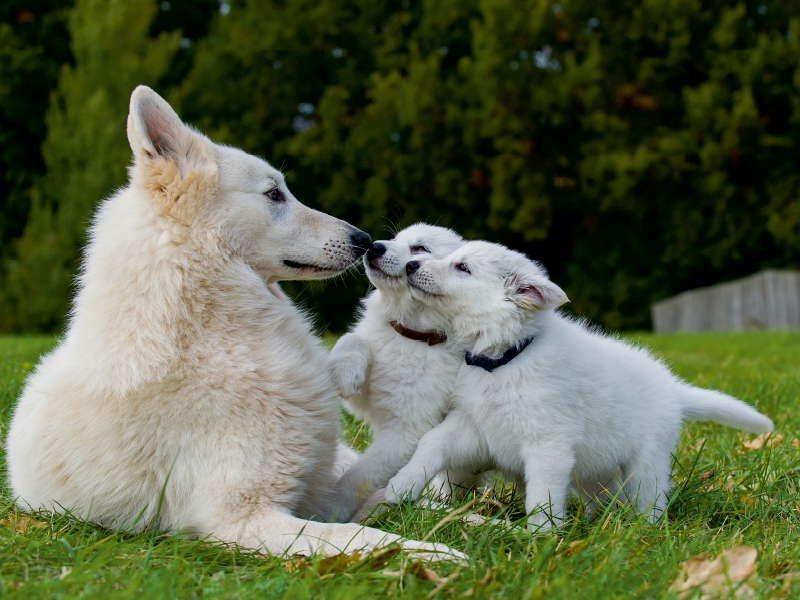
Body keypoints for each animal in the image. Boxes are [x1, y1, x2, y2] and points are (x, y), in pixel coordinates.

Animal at [328, 223, 472, 524]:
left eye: (420, 248)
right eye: (395, 238)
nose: (373, 246)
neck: (409, 334)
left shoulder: (405, 433)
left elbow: (355, 480)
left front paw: (328, 510)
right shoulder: (365, 396)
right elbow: (354, 339)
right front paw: (344, 370)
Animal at [388, 239, 776, 528]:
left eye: (463, 268)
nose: (411, 267)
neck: (503, 359)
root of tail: (674, 390)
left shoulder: (549, 443)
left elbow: (541, 495)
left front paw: (538, 538)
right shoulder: (473, 423)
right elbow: (431, 443)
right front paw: (400, 486)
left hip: (645, 466)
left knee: (649, 502)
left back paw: (641, 533)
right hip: (595, 471)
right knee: (600, 500)